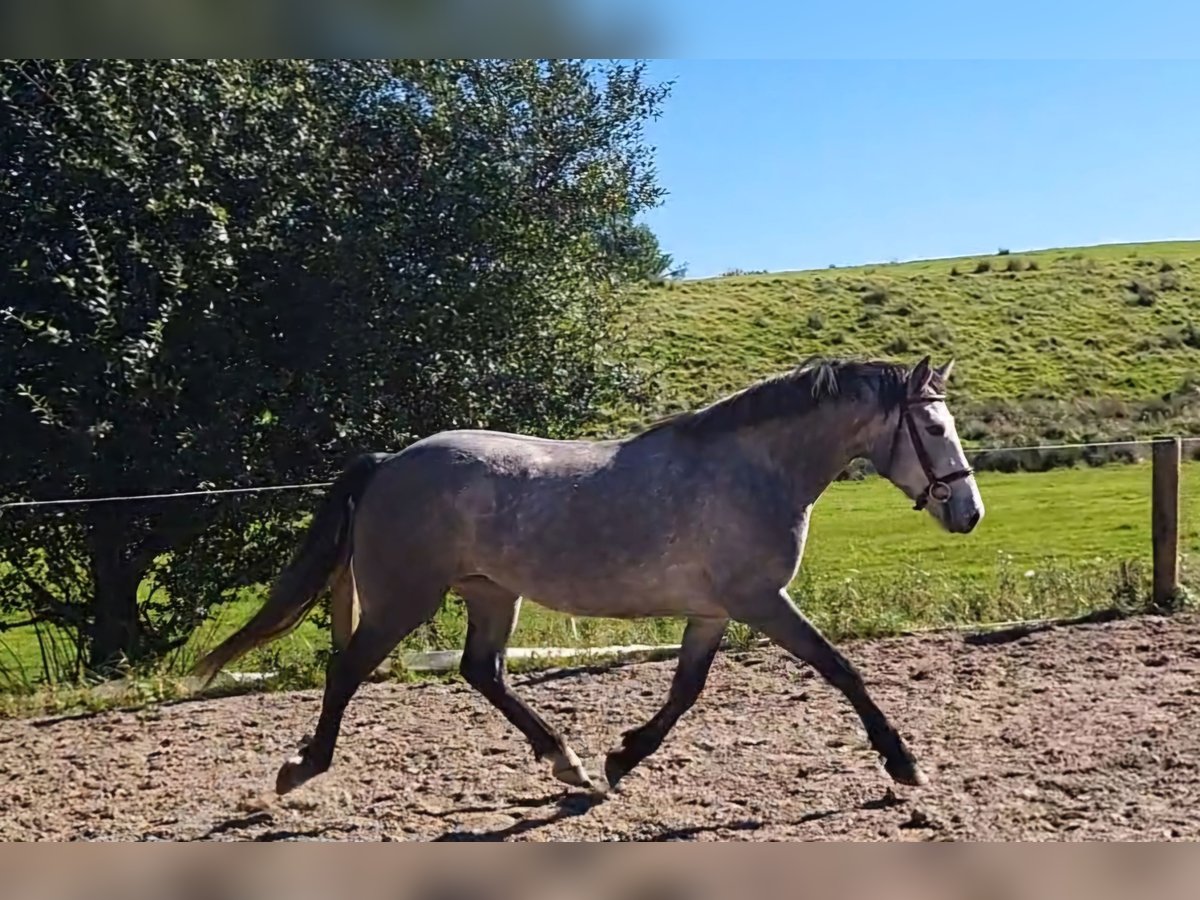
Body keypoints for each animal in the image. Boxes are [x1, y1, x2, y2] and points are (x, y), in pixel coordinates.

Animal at [194, 355, 984, 801]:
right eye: (934, 430)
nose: (969, 512)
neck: (754, 468)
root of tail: (389, 462)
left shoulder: (715, 611)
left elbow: (686, 690)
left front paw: (620, 758)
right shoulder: (761, 601)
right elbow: (841, 669)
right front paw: (905, 764)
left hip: (490, 593)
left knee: (482, 671)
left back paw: (565, 762)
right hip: (404, 599)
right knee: (347, 670)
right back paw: (301, 769)